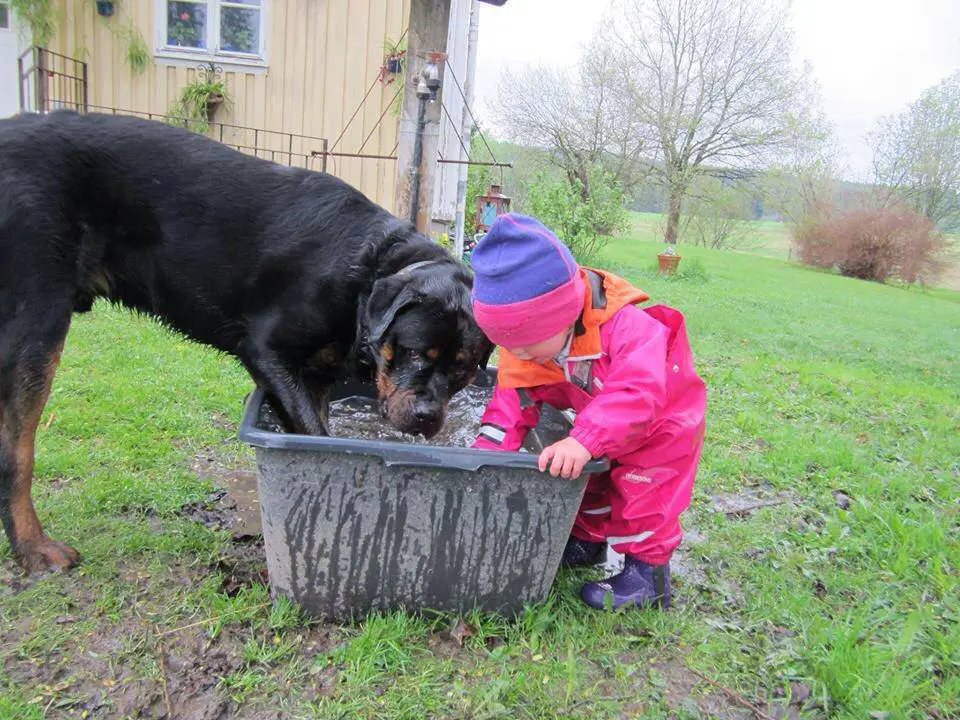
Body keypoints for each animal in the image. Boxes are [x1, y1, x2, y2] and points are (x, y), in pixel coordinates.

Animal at [0, 111, 492, 572]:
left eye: (463, 372)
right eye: (414, 353)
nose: (428, 417)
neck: (369, 273)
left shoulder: (316, 376)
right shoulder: (266, 351)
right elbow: (315, 435)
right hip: (37, 318)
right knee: (17, 449)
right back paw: (34, 547)